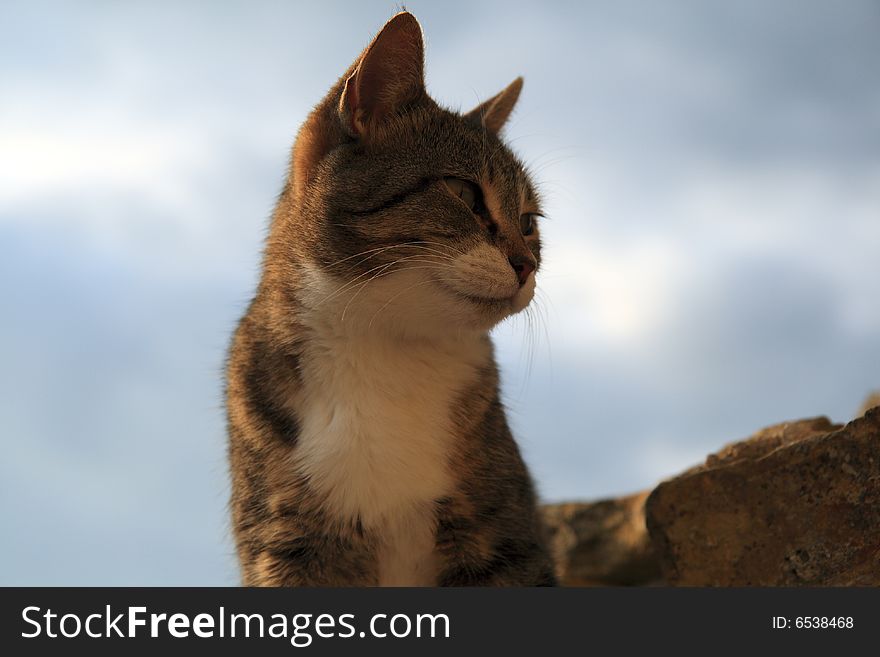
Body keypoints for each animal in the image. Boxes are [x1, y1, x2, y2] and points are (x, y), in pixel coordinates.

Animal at [227, 10, 556, 584]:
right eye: (464, 192)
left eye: (529, 223)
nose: (528, 265)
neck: (383, 352)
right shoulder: (286, 541)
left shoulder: (501, 535)